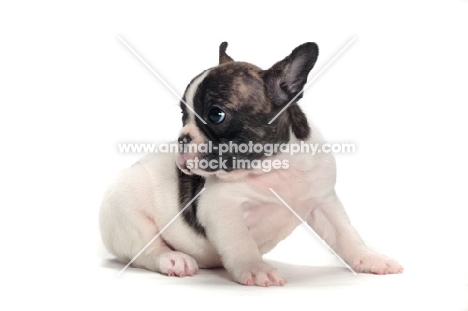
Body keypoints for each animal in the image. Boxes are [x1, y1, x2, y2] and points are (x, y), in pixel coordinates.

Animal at [99, 41, 402, 288]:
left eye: (216, 115)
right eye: (184, 115)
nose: (182, 138)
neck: (274, 164)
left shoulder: (324, 201)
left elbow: (346, 235)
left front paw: (370, 258)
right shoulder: (223, 209)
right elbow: (240, 242)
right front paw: (256, 269)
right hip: (128, 214)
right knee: (146, 250)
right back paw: (173, 259)